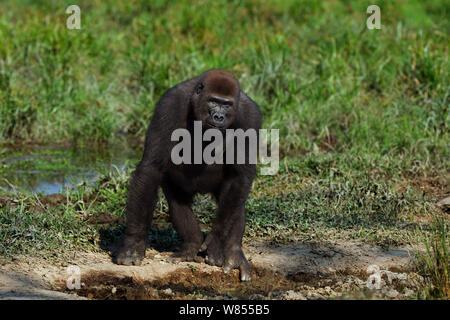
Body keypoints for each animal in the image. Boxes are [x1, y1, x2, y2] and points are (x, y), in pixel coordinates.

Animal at [115, 69, 264, 280]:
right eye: (213, 101)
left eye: (227, 105)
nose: (219, 116)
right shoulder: (169, 103)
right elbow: (151, 167)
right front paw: (133, 242)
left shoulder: (250, 114)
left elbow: (240, 175)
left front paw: (216, 239)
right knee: (177, 200)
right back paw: (191, 245)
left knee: (235, 197)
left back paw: (233, 251)